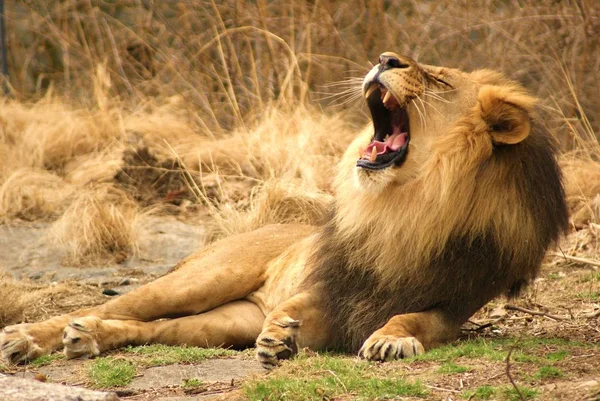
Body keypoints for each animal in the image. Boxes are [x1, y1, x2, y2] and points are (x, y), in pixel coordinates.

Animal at [0, 54, 568, 368]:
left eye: (441, 81)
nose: (386, 58)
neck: (406, 205)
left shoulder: (454, 304)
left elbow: (414, 317)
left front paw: (389, 340)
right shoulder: (331, 284)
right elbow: (296, 303)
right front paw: (279, 337)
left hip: (221, 324)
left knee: (148, 329)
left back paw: (89, 340)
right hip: (203, 278)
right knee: (121, 306)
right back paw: (28, 338)